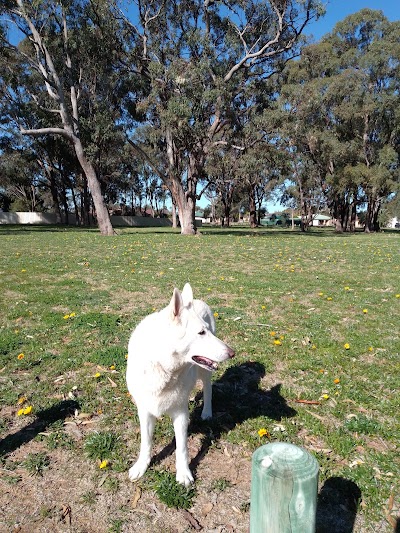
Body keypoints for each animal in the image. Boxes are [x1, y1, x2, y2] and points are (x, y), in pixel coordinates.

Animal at [126, 282, 234, 486]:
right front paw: (142, 466)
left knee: (208, 390)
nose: (233, 353)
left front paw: (184, 474)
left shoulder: (181, 415)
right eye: (201, 333)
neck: (162, 367)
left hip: (205, 372)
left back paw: (206, 412)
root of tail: (197, 299)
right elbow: (146, 442)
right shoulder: (145, 412)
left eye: (206, 330)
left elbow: (182, 448)